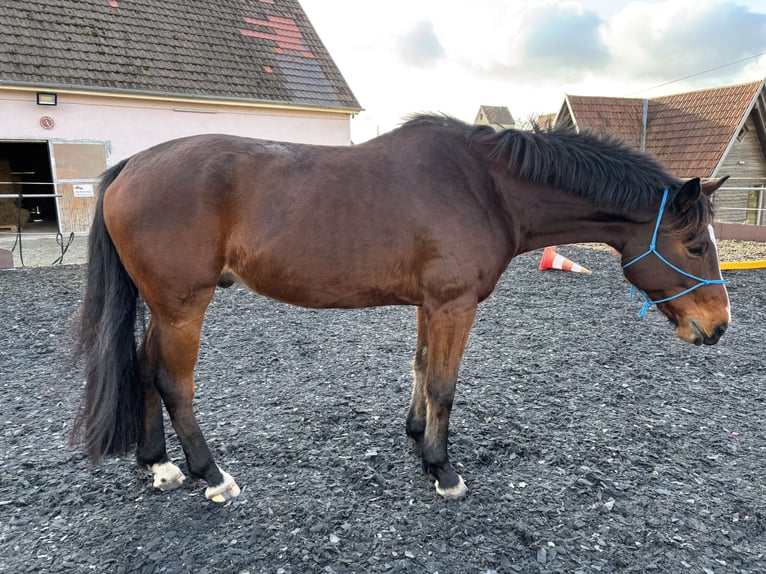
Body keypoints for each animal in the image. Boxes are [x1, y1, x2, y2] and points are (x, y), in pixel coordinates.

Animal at [72, 116, 732, 504]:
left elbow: (419, 368)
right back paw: (210, 475)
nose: (718, 326)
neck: (486, 187)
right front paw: (442, 469)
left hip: (164, 306)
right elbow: (443, 383)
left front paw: (417, 438)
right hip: (184, 305)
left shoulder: (428, 304)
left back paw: (159, 465)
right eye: (696, 245)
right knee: (172, 383)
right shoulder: (454, 305)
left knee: (142, 370)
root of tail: (131, 166)